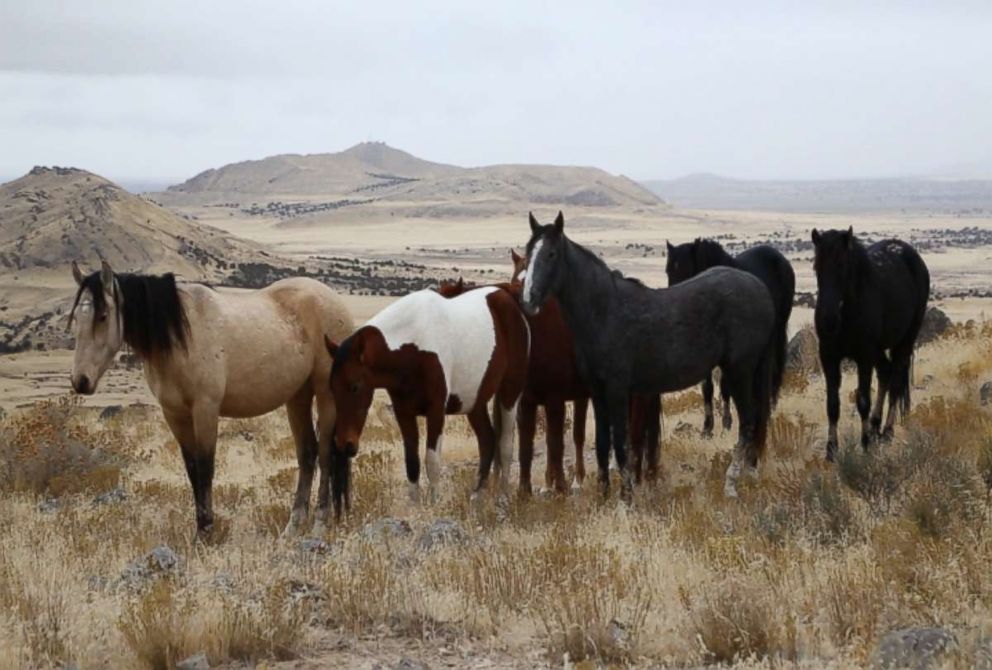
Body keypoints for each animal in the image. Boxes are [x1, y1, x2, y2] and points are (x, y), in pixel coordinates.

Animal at [67, 262, 352, 536]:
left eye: (103, 316)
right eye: (77, 318)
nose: (80, 381)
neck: (179, 338)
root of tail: (334, 301)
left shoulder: (205, 409)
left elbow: (205, 469)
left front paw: (207, 533)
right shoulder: (175, 415)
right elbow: (193, 469)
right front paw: (200, 532)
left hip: (326, 395)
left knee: (325, 453)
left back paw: (320, 523)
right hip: (297, 396)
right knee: (307, 453)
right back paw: (292, 527)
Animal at [324, 284, 528, 516]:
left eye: (355, 386)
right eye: (332, 387)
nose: (345, 444)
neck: (412, 347)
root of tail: (507, 297)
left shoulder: (436, 411)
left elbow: (432, 461)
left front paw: (434, 505)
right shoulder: (403, 412)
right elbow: (411, 461)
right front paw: (415, 508)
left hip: (510, 392)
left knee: (506, 443)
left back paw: (503, 496)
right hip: (474, 402)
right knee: (487, 440)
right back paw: (477, 496)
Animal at [524, 213, 780, 502]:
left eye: (551, 254)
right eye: (528, 252)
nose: (528, 298)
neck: (605, 312)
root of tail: (760, 289)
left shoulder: (618, 390)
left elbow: (621, 444)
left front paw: (625, 498)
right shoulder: (597, 393)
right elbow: (602, 444)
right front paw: (603, 497)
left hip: (739, 371)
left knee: (748, 421)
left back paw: (731, 483)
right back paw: (750, 471)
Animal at [664, 239, 796, 438]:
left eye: (687, 270)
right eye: (668, 271)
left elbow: (725, 385)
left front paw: (726, 423)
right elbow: (707, 387)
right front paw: (707, 428)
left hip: (777, 331)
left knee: (773, 371)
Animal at [812, 227, 928, 462]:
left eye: (841, 265)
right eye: (816, 266)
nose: (828, 319)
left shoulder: (864, 356)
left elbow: (863, 400)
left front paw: (864, 444)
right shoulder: (829, 356)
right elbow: (832, 404)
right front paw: (831, 449)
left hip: (905, 340)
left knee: (896, 379)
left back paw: (886, 432)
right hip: (878, 349)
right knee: (885, 371)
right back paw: (875, 427)